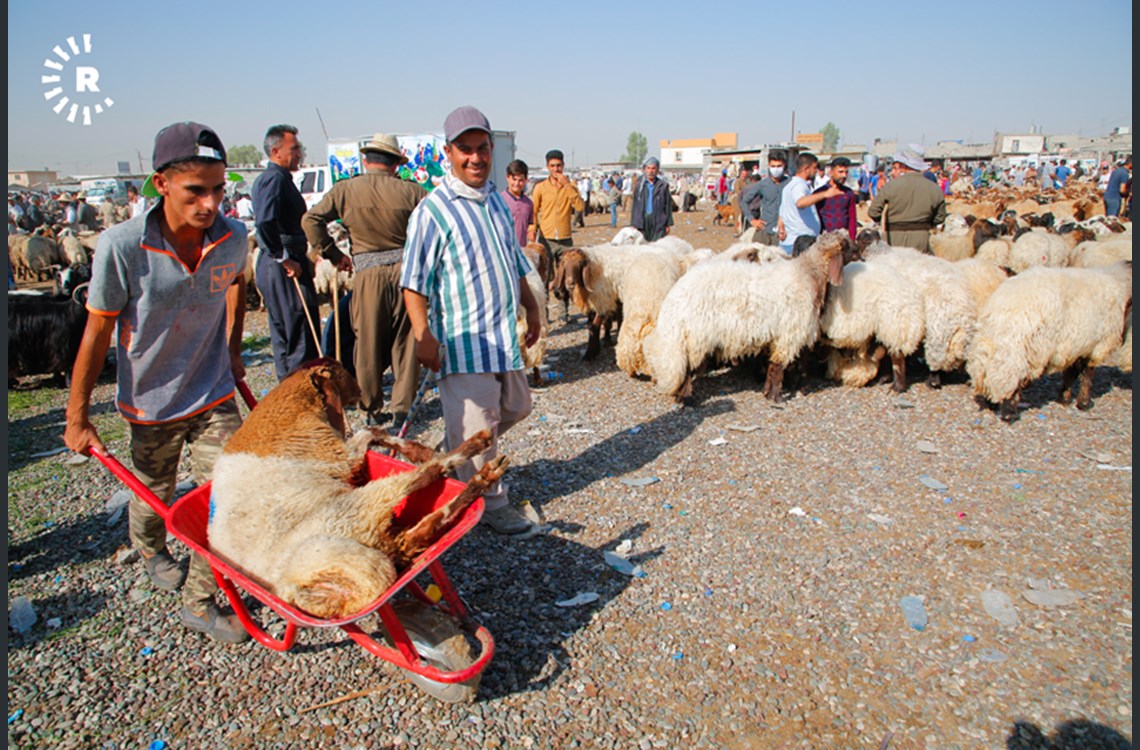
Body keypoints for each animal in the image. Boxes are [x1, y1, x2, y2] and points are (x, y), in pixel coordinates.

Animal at [209, 360, 503, 615]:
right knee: (420, 482)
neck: (294, 401)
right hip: (355, 516)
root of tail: (292, 589)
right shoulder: (338, 456)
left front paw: (419, 451)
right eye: (340, 370)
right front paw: (424, 452)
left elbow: (374, 432)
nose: (360, 392)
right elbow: (369, 432)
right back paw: (480, 454)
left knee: (414, 535)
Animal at [647, 230, 852, 401]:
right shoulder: (791, 334)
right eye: (847, 244)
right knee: (688, 368)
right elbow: (779, 365)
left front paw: (769, 392)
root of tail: (674, 298)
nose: (857, 253)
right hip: (696, 335)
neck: (809, 274)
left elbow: (775, 365)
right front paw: (777, 397)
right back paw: (687, 399)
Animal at [966, 259, 1135, 417]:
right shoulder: (1095, 346)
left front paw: (1064, 398)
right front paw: (1084, 403)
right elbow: (1086, 375)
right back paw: (1009, 411)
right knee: (1012, 378)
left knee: (989, 375)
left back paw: (991, 402)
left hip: (992, 347)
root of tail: (999, 312)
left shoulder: (1074, 346)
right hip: (1028, 350)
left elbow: (1071, 374)